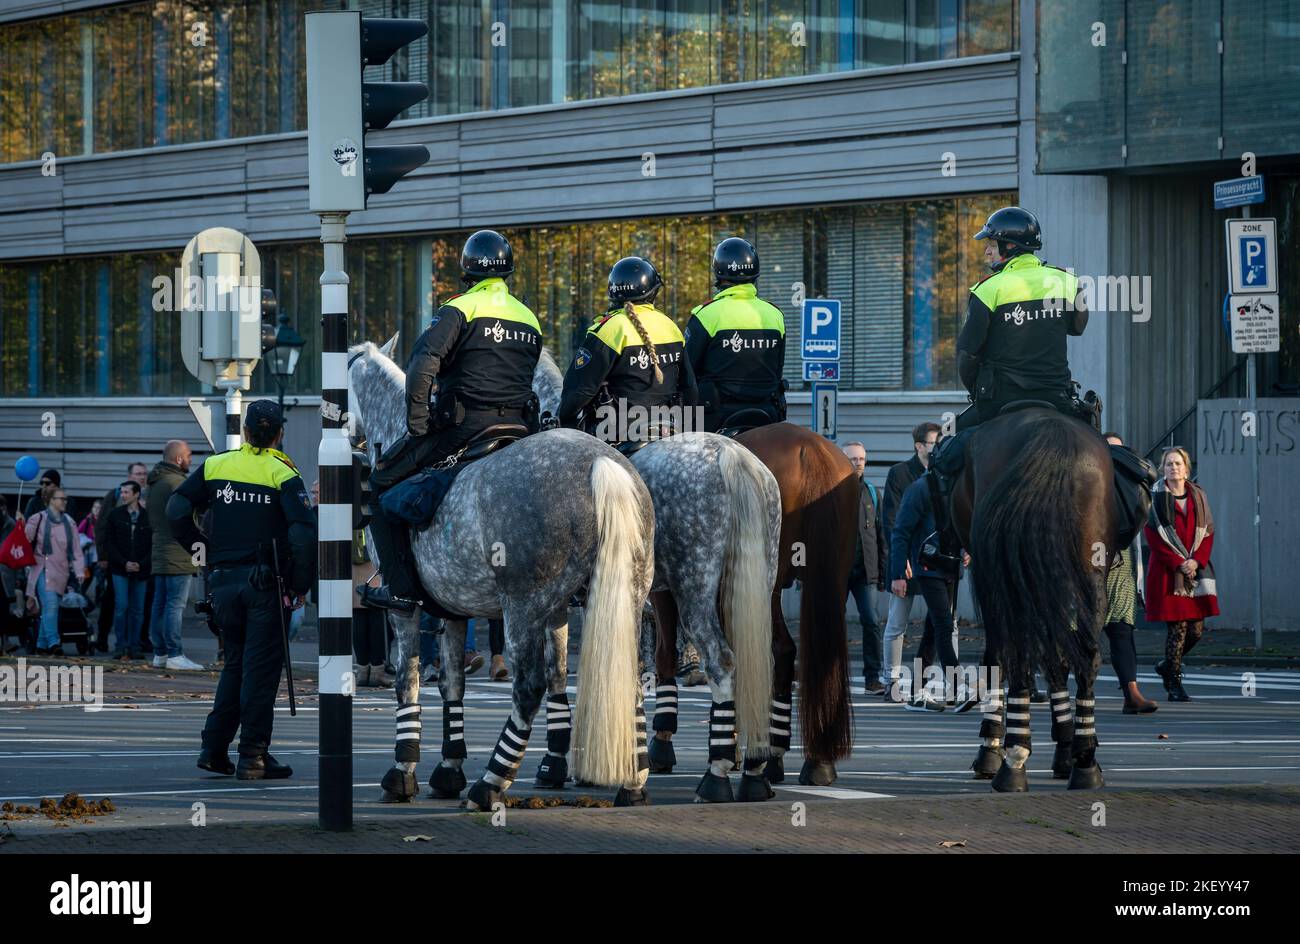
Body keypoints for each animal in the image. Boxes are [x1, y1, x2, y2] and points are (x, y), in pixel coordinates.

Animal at [345, 335, 655, 811]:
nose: (349, 438)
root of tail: (602, 465)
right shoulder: (472, 611)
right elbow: (454, 683)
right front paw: (448, 768)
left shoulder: (406, 611)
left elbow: (407, 681)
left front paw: (403, 771)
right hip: (624, 598)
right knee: (631, 676)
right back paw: (634, 781)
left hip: (521, 610)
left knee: (526, 690)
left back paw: (491, 783)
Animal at [530, 351, 780, 800]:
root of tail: (731, 456)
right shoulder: (654, 596)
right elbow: (653, 658)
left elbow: (564, 669)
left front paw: (560, 762)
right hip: (751, 583)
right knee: (756, 663)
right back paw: (752, 768)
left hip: (696, 589)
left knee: (722, 659)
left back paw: (716, 776)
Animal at [946, 410, 1118, 795]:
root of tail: (1053, 435)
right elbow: (1057, 659)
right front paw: (1067, 749)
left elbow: (1002, 657)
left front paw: (992, 748)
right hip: (1089, 573)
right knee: (1085, 655)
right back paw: (1085, 764)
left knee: (1016, 650)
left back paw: (1012, 763)